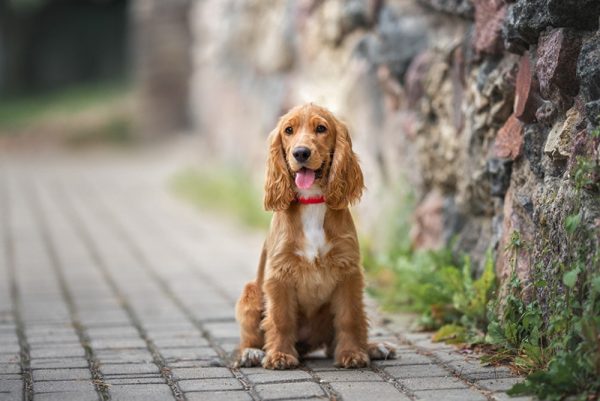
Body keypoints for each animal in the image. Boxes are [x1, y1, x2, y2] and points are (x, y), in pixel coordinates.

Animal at [234, 103, 394, 368]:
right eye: (288, 130)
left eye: (321, 128)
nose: (300, 153)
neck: (312, 201)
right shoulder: (279, 274)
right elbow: (280, 319)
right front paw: (279, 355)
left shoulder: (348, 271)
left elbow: (350, 318)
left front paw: (352, 353)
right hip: (250, 293)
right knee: (249, 337)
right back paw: (252, 353)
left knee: (339, 338)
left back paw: (373, 347)